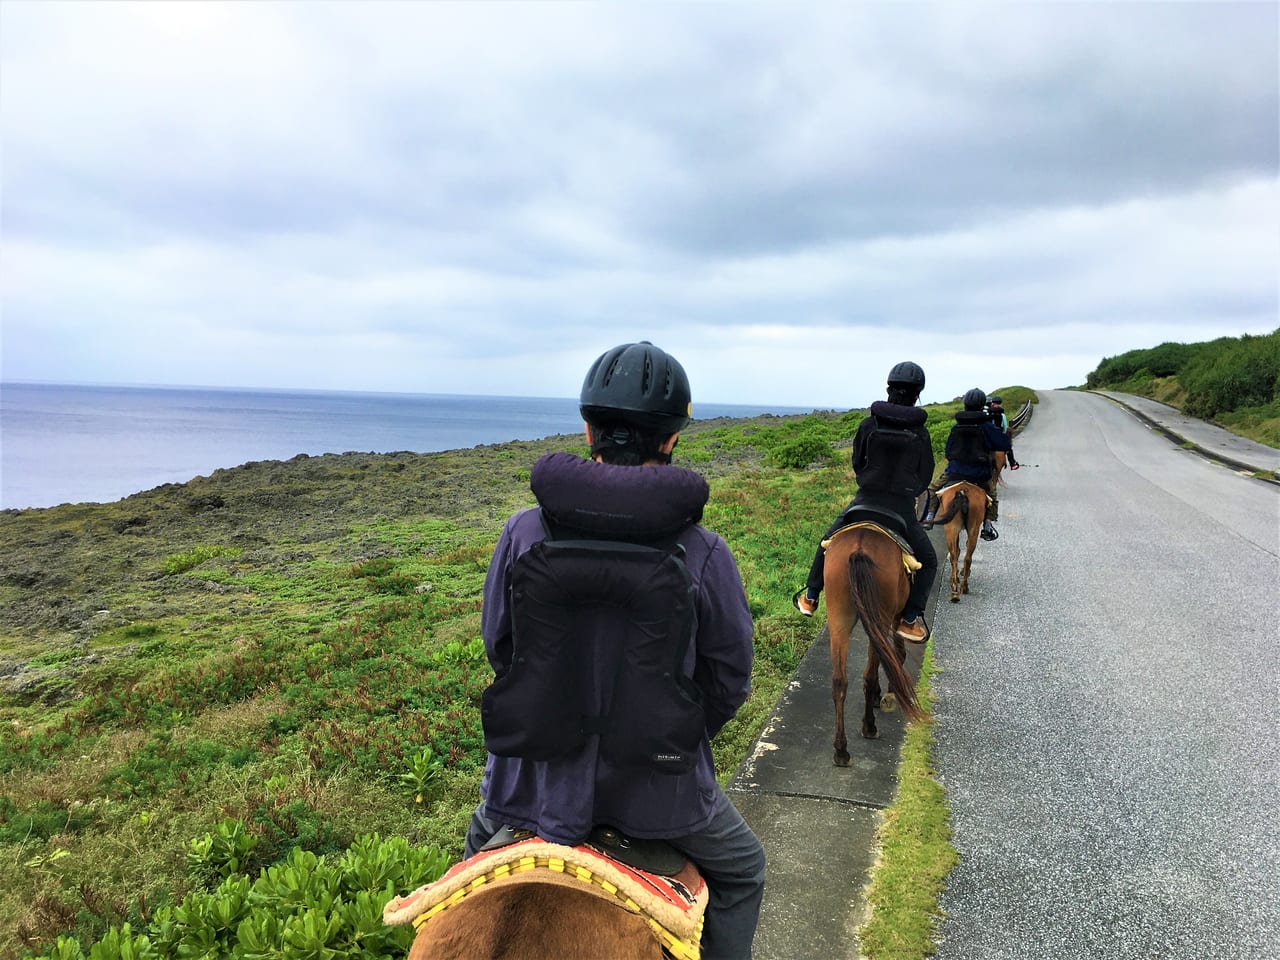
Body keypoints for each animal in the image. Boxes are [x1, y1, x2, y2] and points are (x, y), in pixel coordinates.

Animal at [824, 522, 926, 762]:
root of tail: (859, 549)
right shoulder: (897, 615)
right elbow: (896, 654)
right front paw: (889, 692)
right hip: (881, 615)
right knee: (869, 674)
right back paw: (869, 726)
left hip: (838, 617)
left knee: (839, 680)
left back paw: (841, 750)